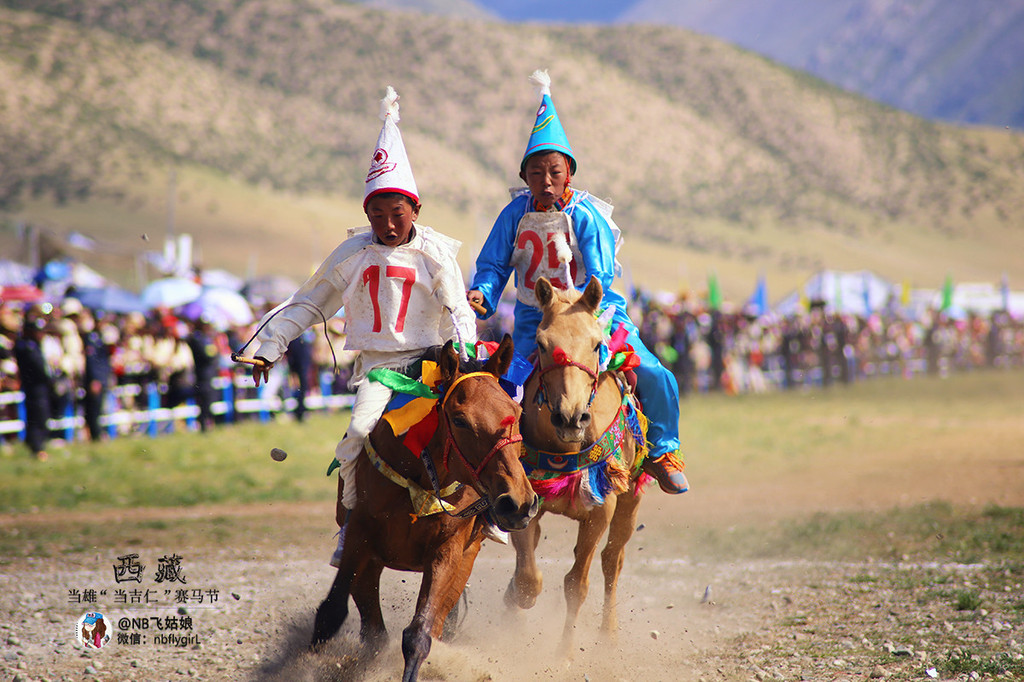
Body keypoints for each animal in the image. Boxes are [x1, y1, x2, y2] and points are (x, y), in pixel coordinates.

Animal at [311, 335, 540, 679]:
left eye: (516, 410)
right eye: (459, 419)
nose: (518, 502)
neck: (422, 478)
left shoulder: (449, 550)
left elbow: (419, 634)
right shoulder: (360, 534)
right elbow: (331, 613)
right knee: (371, 629)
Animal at [503, 274, 647, 647]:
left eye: (597, 344)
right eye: (541, 343)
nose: (571, 418)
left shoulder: (601, 510)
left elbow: (576, 585)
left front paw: (565, 653)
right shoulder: (525, 500)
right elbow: (527, 579)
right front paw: (513, 603)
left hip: (631, 499)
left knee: (613, 560)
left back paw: (608, 633)